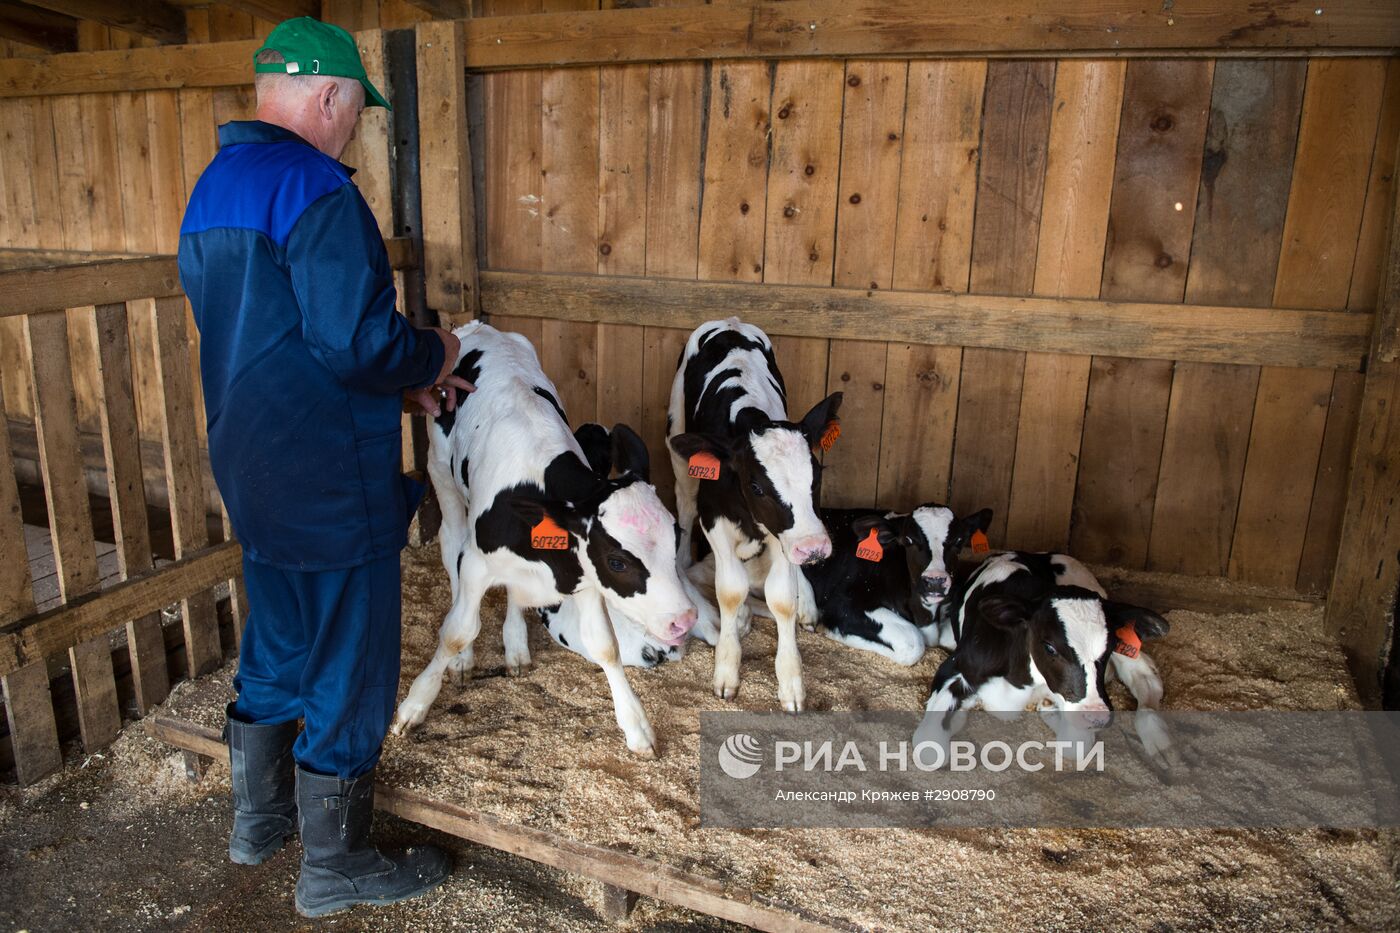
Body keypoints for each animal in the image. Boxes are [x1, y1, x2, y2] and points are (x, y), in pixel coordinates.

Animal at [666, 316, 840, 708]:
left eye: (817, 476)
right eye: (758, 487)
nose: (815, 548)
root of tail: (729, 321)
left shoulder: (785, 534)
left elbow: (782, 599)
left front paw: (791, 681)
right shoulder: (714, 521)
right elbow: (730, 592)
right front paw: (726, 670)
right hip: (678, 439)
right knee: (684, 505)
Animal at [800, 504, 996, 664]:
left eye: (959, 541)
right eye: (909, 540)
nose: (935, 581)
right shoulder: (842, 602)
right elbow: (913, 644)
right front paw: (833, 630)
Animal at [912, 549, 1176, 762]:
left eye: (1109, 645)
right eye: (1049, 647)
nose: (1096, 717)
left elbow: (1075, 746)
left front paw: (1049, 711)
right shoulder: (956, 666)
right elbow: (929, 749)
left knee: (1144, 675)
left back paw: (1158, 739)